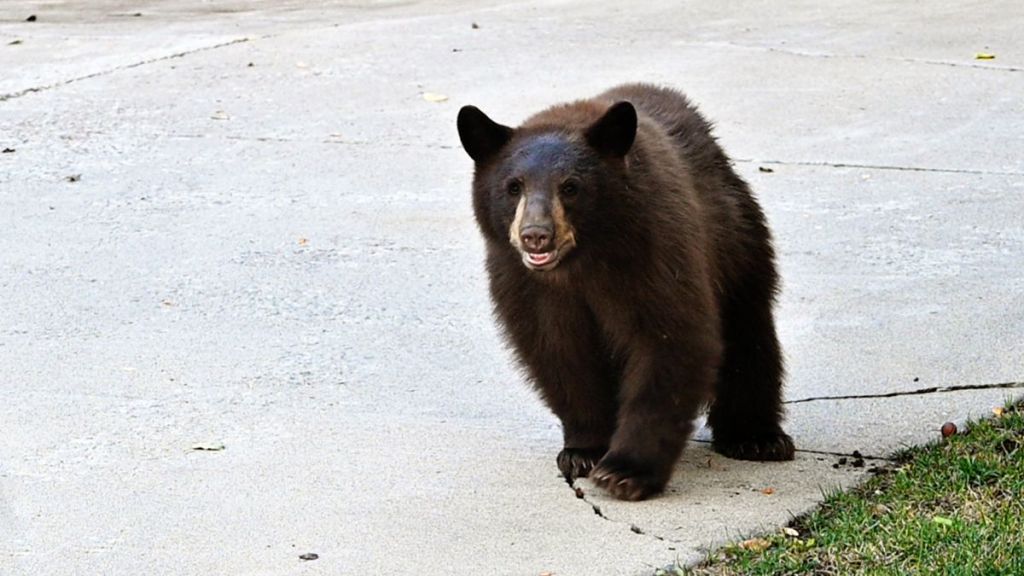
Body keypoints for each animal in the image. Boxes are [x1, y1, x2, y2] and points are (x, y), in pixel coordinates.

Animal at [458, 83, 798, 500]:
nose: (536, 235)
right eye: (513, 187)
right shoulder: (524, 283)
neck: (580, 266)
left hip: (736, 242)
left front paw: (626, 471)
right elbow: (559, 351)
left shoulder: (653, 251)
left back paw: (756, 437)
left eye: (570, 186)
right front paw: (584, 450)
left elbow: (669, 340)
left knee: (748, 334)